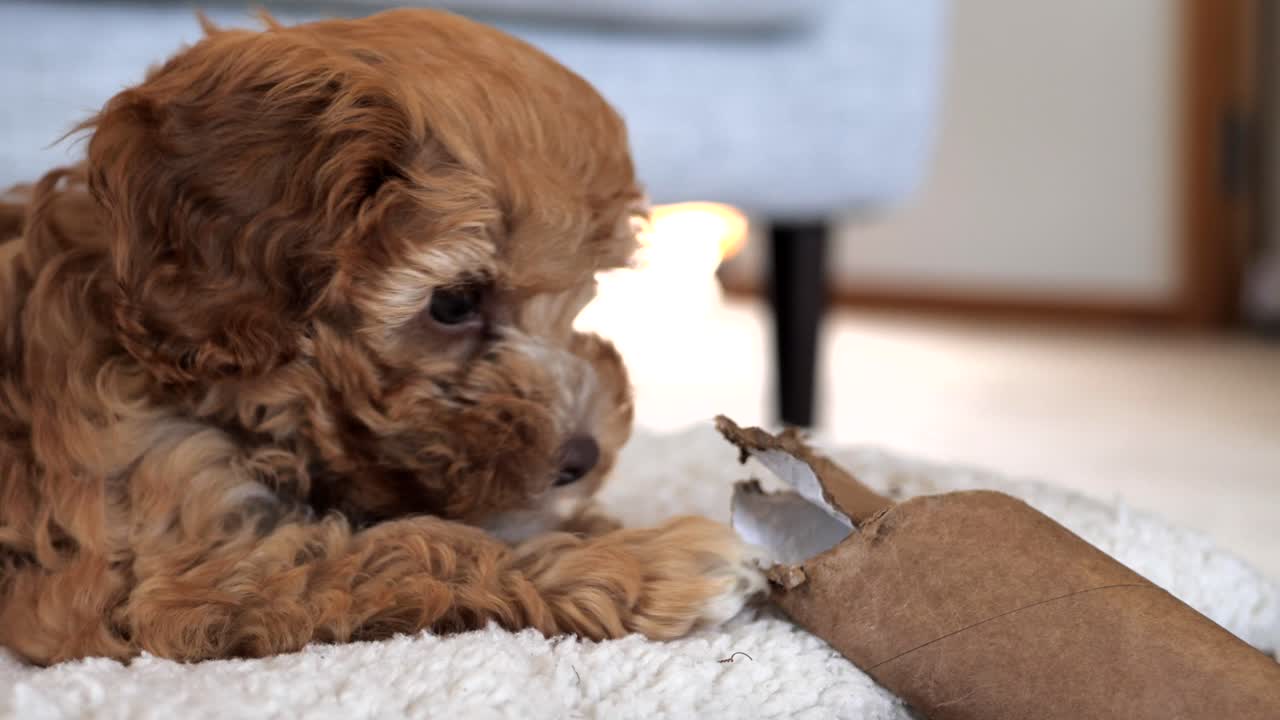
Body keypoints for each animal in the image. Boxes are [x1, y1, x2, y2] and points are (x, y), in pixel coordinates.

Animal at [0, 9, 757, 661]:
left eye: (585, 294)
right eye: (452, 302)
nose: (586, 457)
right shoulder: (162, 573)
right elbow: (405, 549)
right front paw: (651, 562)